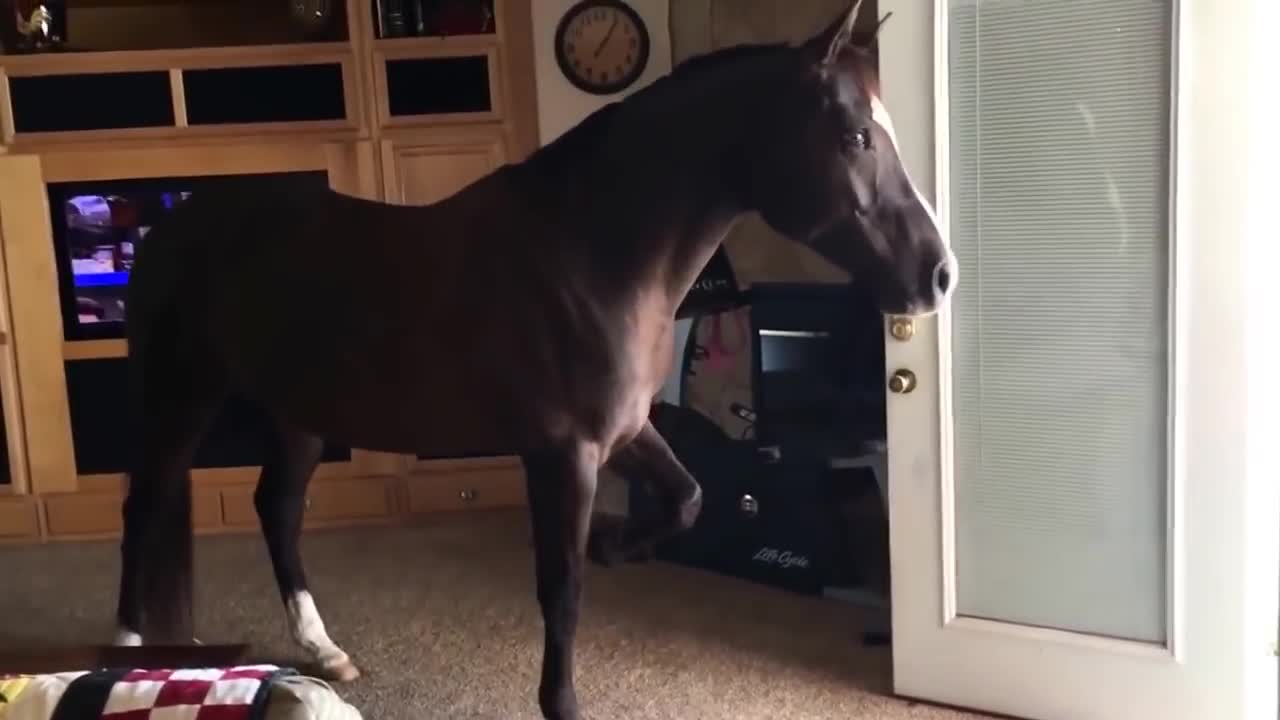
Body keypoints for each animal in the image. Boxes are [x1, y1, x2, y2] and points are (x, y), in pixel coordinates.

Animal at [110, 1, 952, 712]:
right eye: (856, 137)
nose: (939, 276)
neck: (592, 253)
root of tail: (176, 223)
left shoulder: (625, 432)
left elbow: (687, 498)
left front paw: (618, 546)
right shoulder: (563, 453)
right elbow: (563, 591)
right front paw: (563, 700)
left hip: (301, 410)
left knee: (277, 510)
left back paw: (323, 649)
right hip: (181, 395)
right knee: (145, 505)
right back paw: (125, 651)